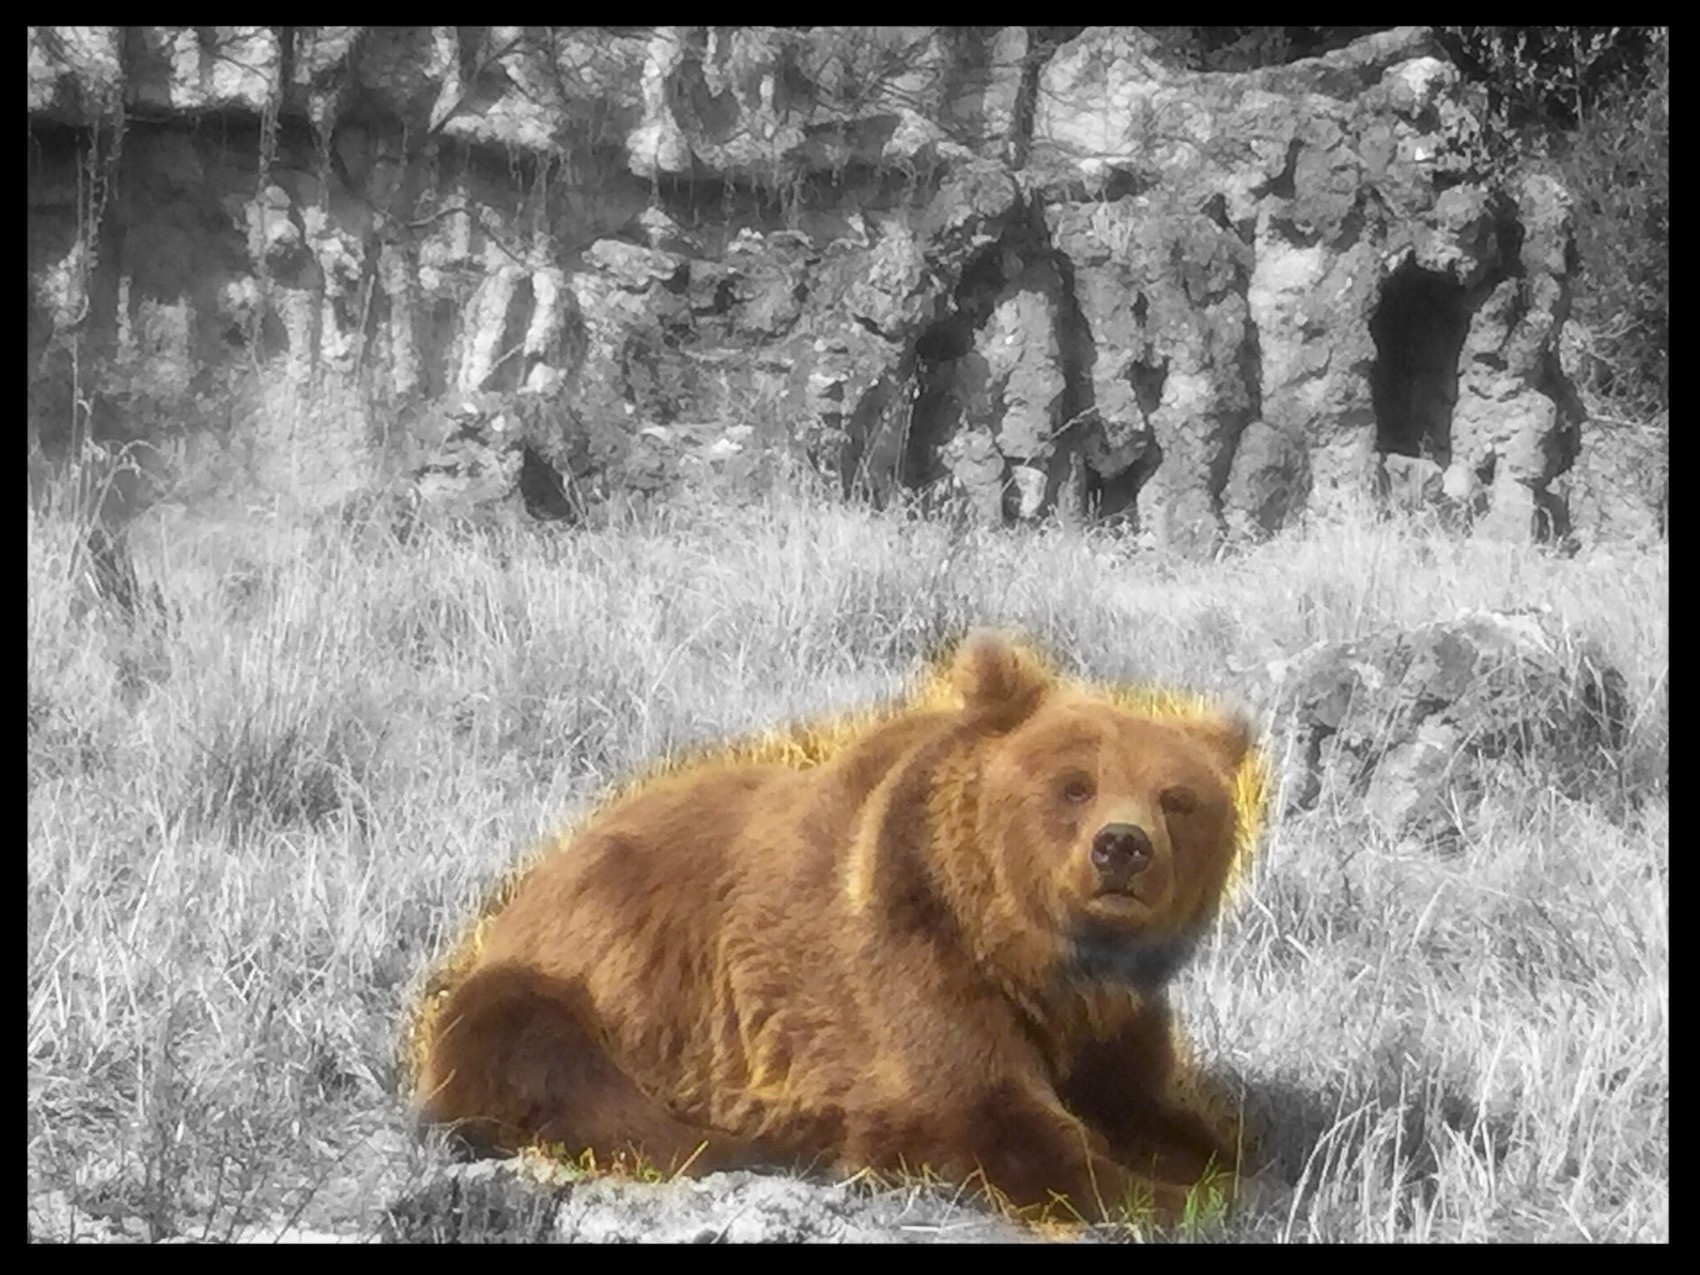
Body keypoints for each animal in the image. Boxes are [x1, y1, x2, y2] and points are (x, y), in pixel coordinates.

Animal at [411, 631, 1261, 1225]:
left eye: (1178, 797)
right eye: (1074, 785)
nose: (1122, 845)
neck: (1035, 962)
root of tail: (549, 858)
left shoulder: (1113, 1021)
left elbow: (1156, 1103)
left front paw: (1225, 1157)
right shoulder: (903, 958)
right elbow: (985, 1115)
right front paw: (1168, 1195)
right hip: (579, 977)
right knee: (544, 1054)